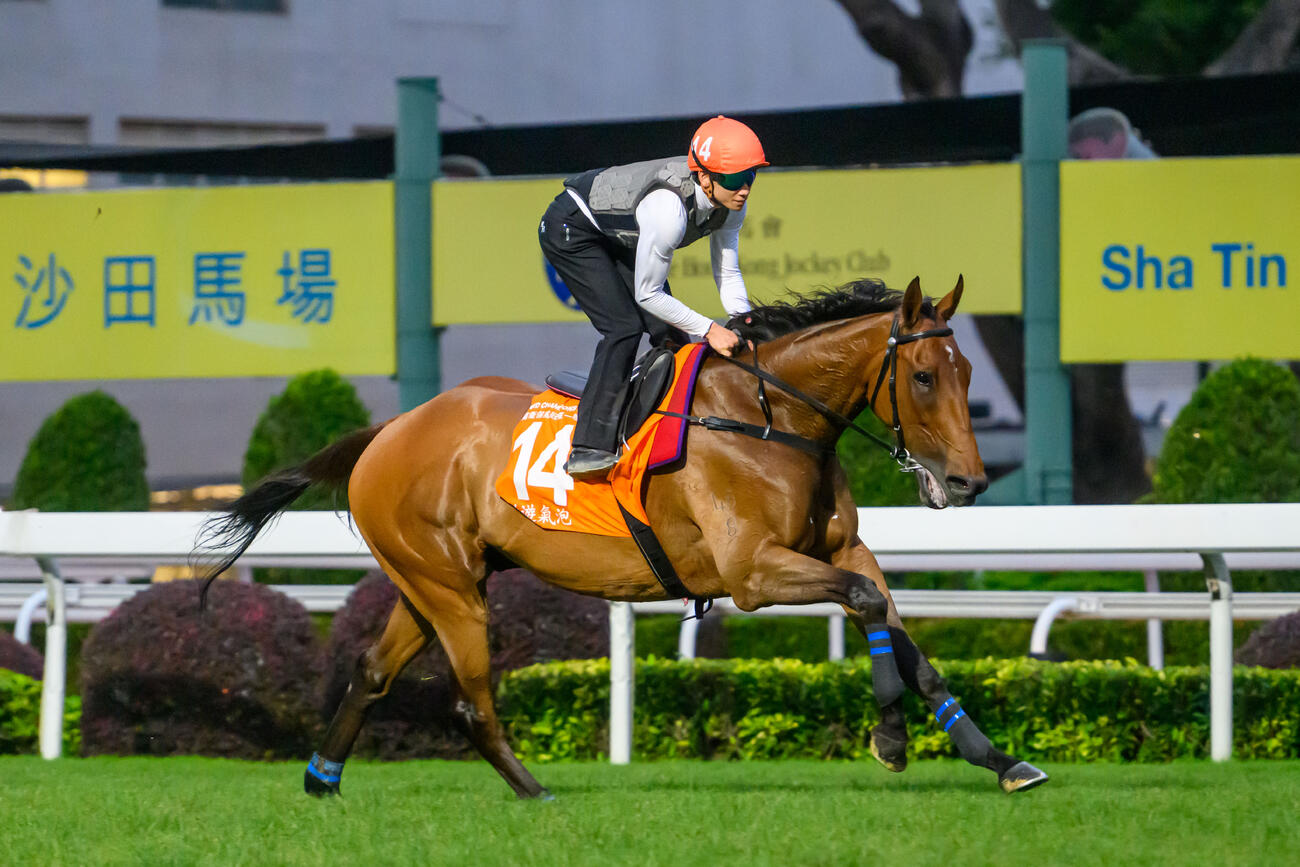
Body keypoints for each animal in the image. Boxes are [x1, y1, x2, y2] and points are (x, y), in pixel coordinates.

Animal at [199, 274, 1048, 798]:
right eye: (925, 377)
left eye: (969, 371)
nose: (969, 481)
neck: (769, 417)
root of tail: (388, 432)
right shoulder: (752, 572)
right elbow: (868, 603)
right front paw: (893, 737)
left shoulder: (840, 549)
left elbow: (903, 633)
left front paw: (998, 757)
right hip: (449, 586)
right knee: (470, 701)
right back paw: (536, 791)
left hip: (432, 582)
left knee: (373, 671)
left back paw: (322, 778)